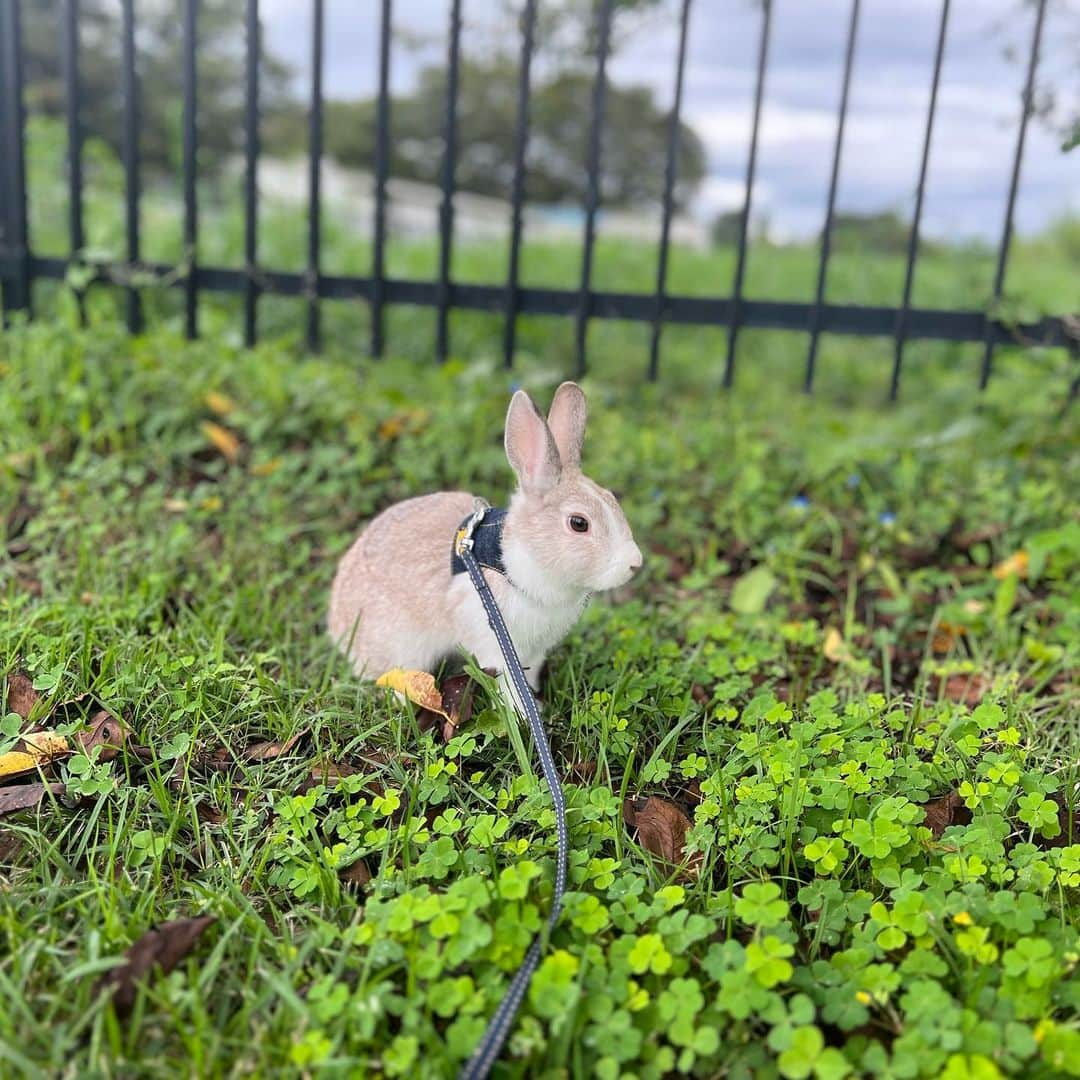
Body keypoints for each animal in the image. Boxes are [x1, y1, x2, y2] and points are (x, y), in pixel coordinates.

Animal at [326, 382, 639, 699]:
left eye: (612, 498)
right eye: (579, 523)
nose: (635, 563)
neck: (513, 563)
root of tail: (336, 620)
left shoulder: (533, 651)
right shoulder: (494, 642)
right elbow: (509, 684)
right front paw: (522, 709)